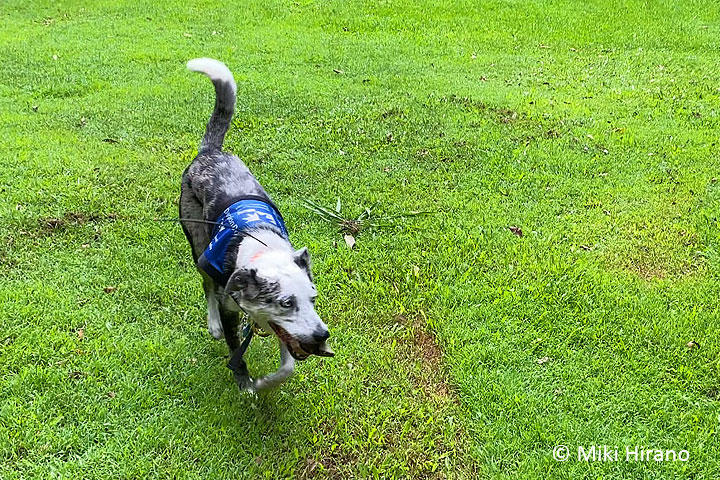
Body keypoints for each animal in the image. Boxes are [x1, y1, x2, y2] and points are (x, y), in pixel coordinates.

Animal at [179, 58, 334, 392]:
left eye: (313, 298)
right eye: (286, 303)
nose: (322, 335)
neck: (261, 248)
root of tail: (210, 152)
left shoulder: (281, 329)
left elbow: (287, 366)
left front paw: (264, 383)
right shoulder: (230, 309)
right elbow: (235, 350)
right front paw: (246, 383)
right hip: (197, 242)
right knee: (205, 285)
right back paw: (212, 325)